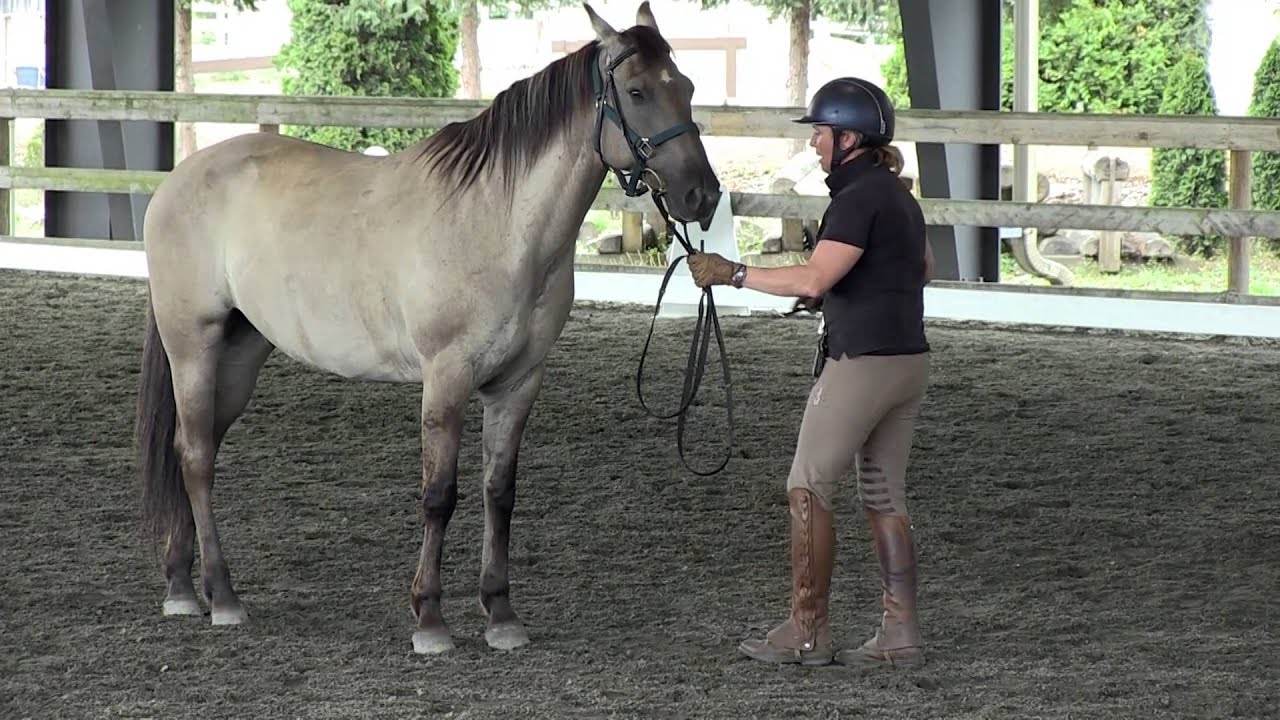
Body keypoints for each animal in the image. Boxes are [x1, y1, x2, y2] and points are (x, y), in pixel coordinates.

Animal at [135, 1, 721, 655]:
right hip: (193, 346)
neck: (497, 222)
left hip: (238, 355)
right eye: (638, 91)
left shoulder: (519, 383)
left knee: (195, 447)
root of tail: (180, 178)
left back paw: (183, 585)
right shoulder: (447, 377)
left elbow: (499, 492)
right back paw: (221, 596)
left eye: (686, 87)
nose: (702, 195)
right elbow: (439, 495)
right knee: (194, 456)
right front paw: (431, 621)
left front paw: (501, 615)